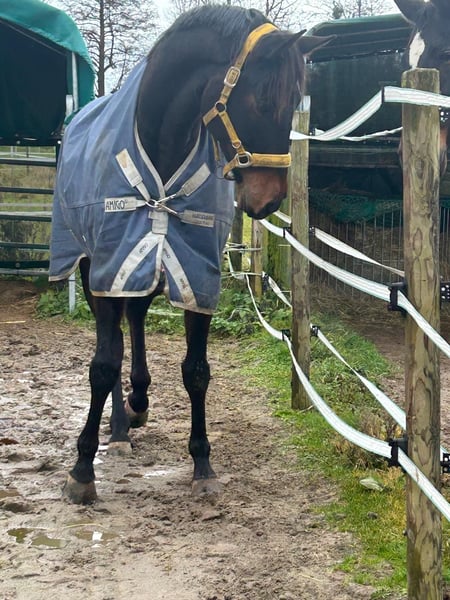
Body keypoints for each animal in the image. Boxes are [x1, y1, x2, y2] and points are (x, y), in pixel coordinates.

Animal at [49, 5, 330, 504]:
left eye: (295, 102)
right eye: (262, 100)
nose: (269, 200)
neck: (160, 143)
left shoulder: (198, 273)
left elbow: (196, 370)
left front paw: (202, 463)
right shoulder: (107, 270)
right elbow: (103, 364)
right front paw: (82, 469)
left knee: (137, 318)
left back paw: (137, 405)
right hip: (92, 267)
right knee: (116, 340)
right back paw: (117, 429)